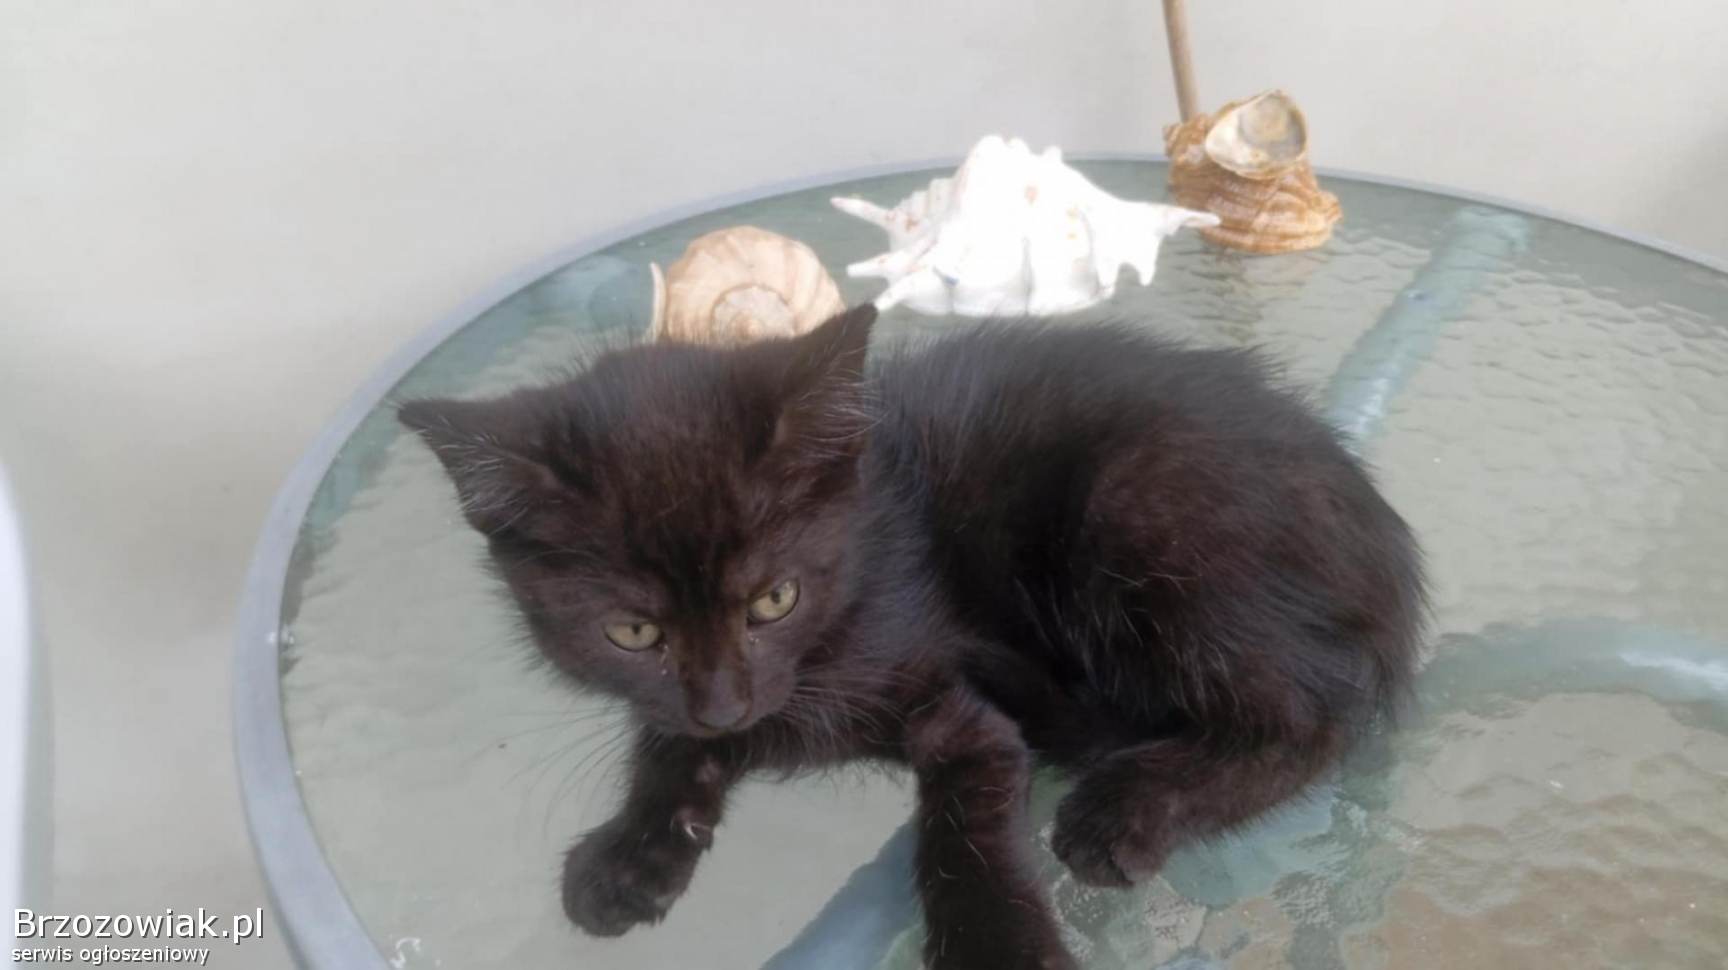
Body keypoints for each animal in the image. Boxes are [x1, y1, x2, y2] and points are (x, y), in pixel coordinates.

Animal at [400, 304, 1425, 970]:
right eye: (632, 629)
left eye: (773, 599)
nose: (725, 702)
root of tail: (1381, 542)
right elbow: (665, 741)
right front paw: (634, 852)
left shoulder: (957, 709)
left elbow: (964, 832)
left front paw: (998, 953)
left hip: (1139, 509)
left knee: (1313, 717)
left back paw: (1129, 806)